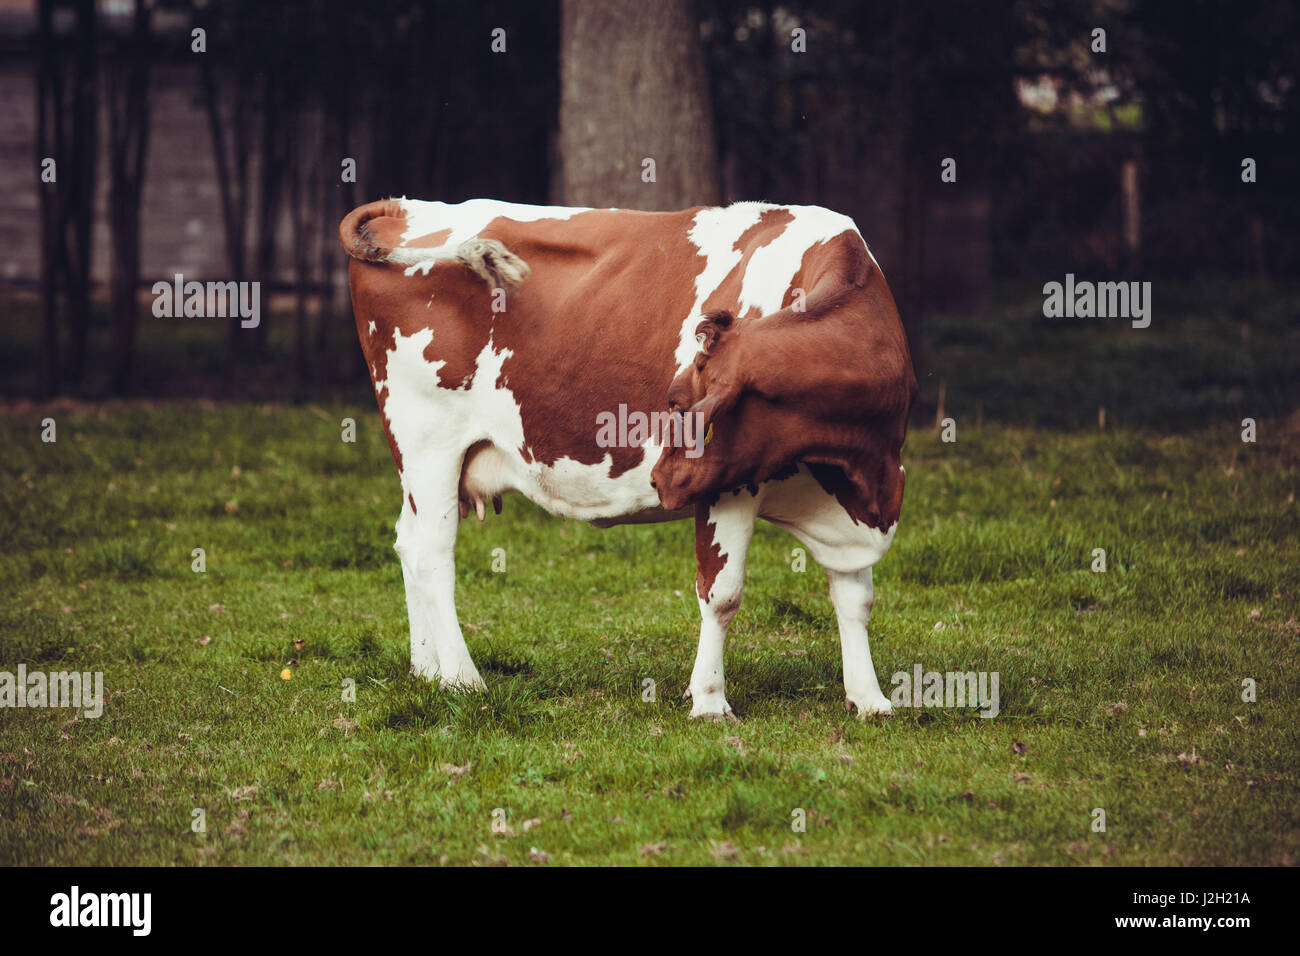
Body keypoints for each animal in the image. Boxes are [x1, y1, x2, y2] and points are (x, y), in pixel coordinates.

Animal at [340, 198, 916, 720]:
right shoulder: (726, 487)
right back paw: (463, 680)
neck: (856, 471)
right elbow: (722, 594)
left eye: (681, 405)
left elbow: (855, 598)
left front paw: (870, 699)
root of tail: (405, 207)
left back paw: (426, 670)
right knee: (431, 553)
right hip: (427, 441)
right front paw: (709, 701)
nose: (660, 481)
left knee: (407, 539)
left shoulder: (860, 491)